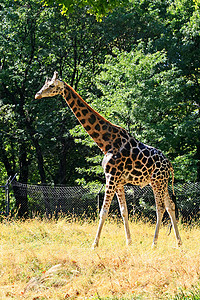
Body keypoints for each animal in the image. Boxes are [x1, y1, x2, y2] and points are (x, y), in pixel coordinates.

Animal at [35, 71, 182, 247]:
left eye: (51, 85)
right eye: (44, 84)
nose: (37, 94)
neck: (105, 142)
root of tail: (170, 164)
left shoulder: (111, 176)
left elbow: (103, 211)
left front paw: (94, 244)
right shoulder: (118, 181)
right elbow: (124, 211)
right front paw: (129, 242)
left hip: (156, 181)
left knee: (160, 208)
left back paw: (154, 244)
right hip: (163, 182)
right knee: (170, 205)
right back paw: (179, 244)